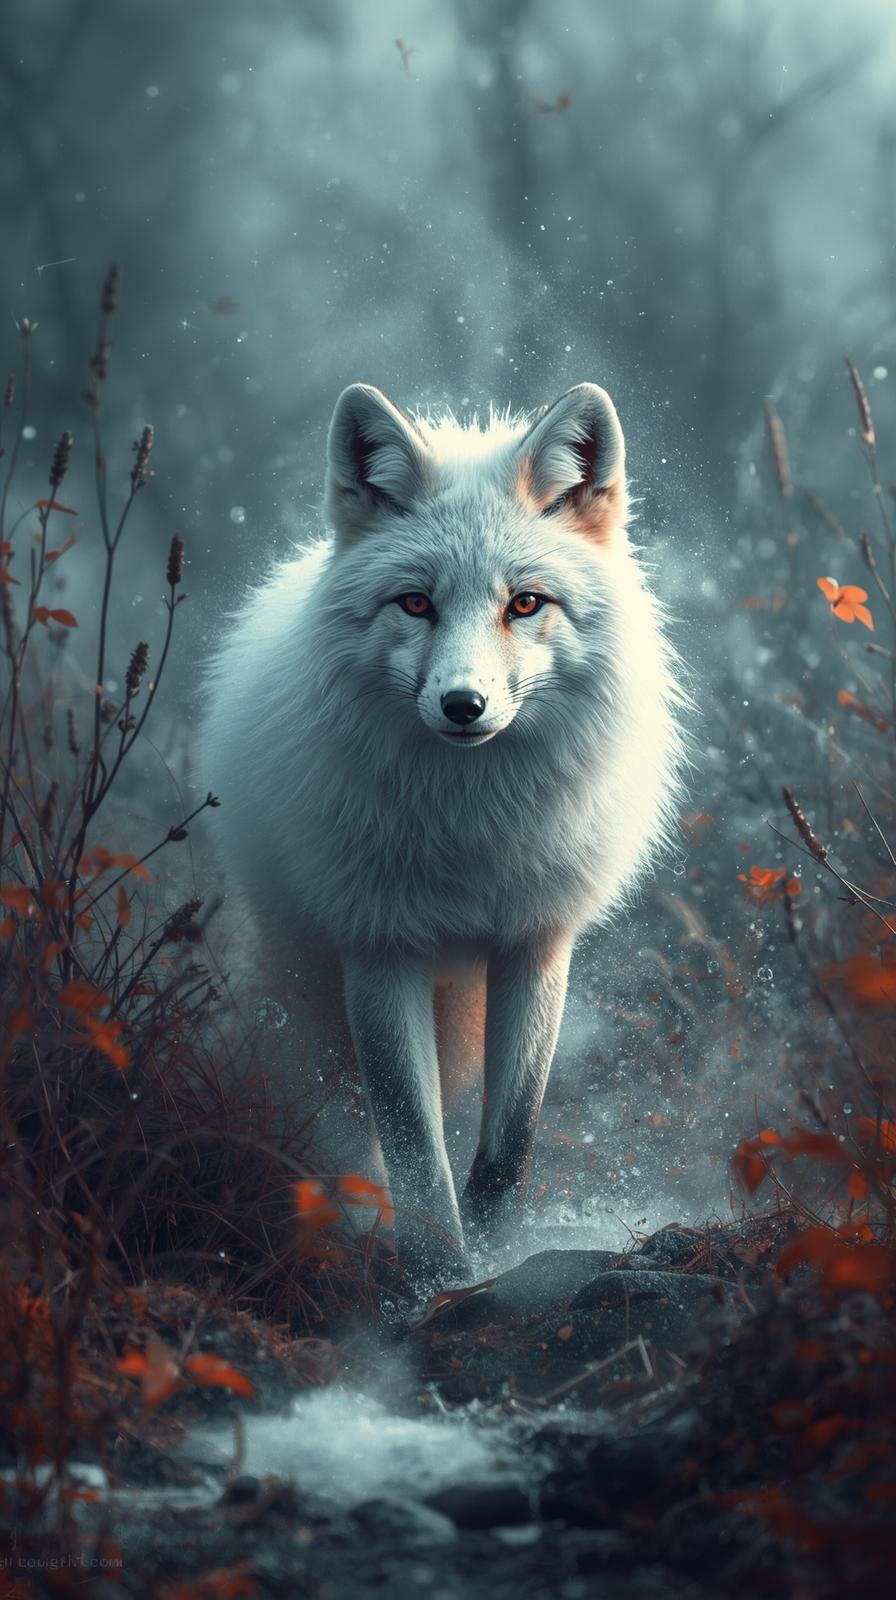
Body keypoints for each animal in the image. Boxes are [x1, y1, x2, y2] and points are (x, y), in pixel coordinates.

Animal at [201, 380, 685, 1285]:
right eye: (416, 603)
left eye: (524, 602)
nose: (464, 706)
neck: (470, 829)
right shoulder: (377, 947)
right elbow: (415, 1150)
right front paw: (434, 1279)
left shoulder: (536, 944)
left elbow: (507, 1145)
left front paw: (492, 1260)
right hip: (310, 989)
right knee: (342, 1118)